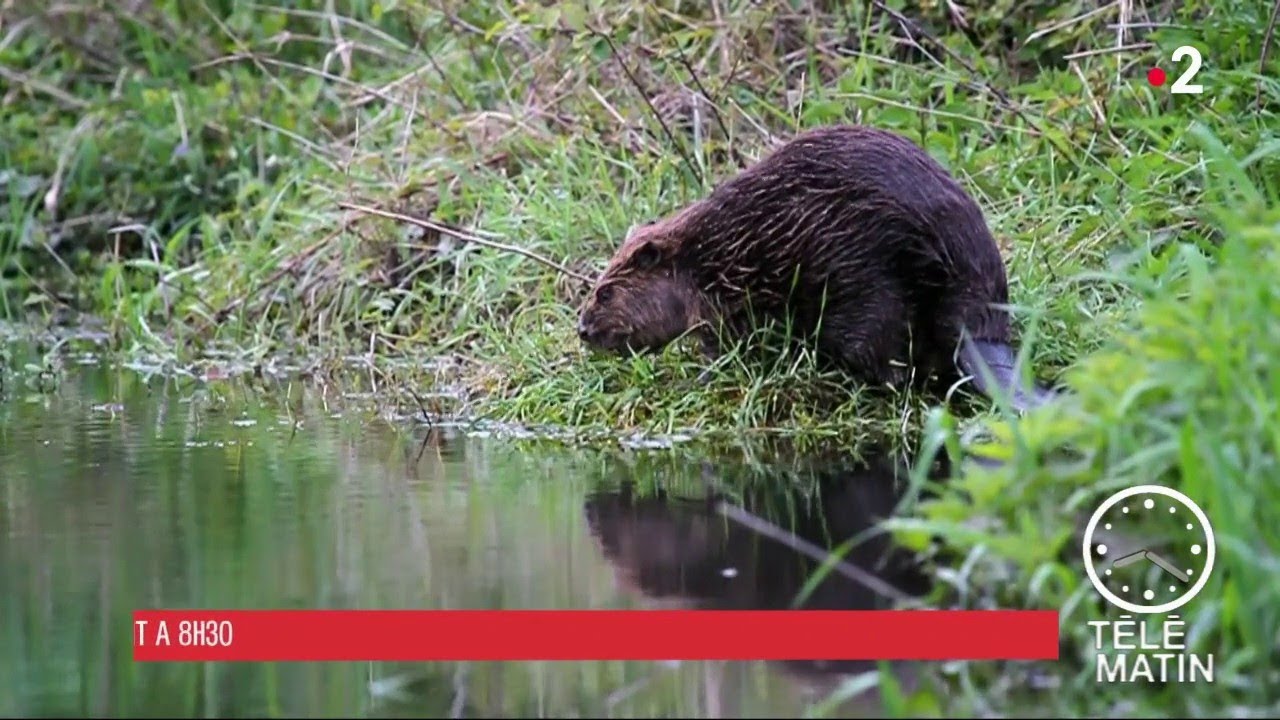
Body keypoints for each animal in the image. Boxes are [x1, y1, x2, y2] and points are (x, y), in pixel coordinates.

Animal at [576, 120, 1054, 407]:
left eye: (606, 292)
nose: (582, 329)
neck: (710, 250)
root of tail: (978, 329)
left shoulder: (723, 299)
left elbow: (722, 346)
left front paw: (698, 376)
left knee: (888, 364)